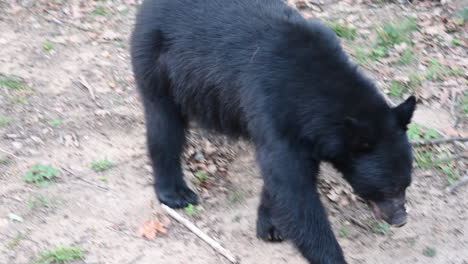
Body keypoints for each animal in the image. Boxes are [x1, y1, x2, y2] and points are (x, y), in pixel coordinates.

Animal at [131, 0, 416, 262]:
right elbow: (293, 190)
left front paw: (270, 225)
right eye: (385, 190)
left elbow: (280, 182)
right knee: (164, 126)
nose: (400, 219)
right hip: (157, 62)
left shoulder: (302, 133)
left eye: (405, 185)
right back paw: (175, 193)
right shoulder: (272, 109)